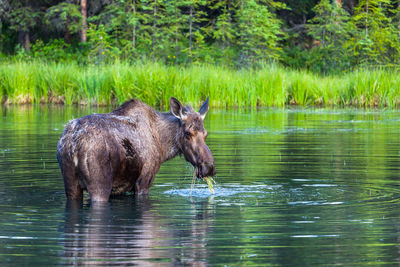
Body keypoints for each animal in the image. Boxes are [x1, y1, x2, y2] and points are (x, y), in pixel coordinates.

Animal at [56, 97, 216, 202]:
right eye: (188, 133)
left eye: (206, 133)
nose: (209, 167)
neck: (163, 146)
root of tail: (74, 145)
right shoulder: (144, 181)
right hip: (99, 185)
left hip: (71, 184)